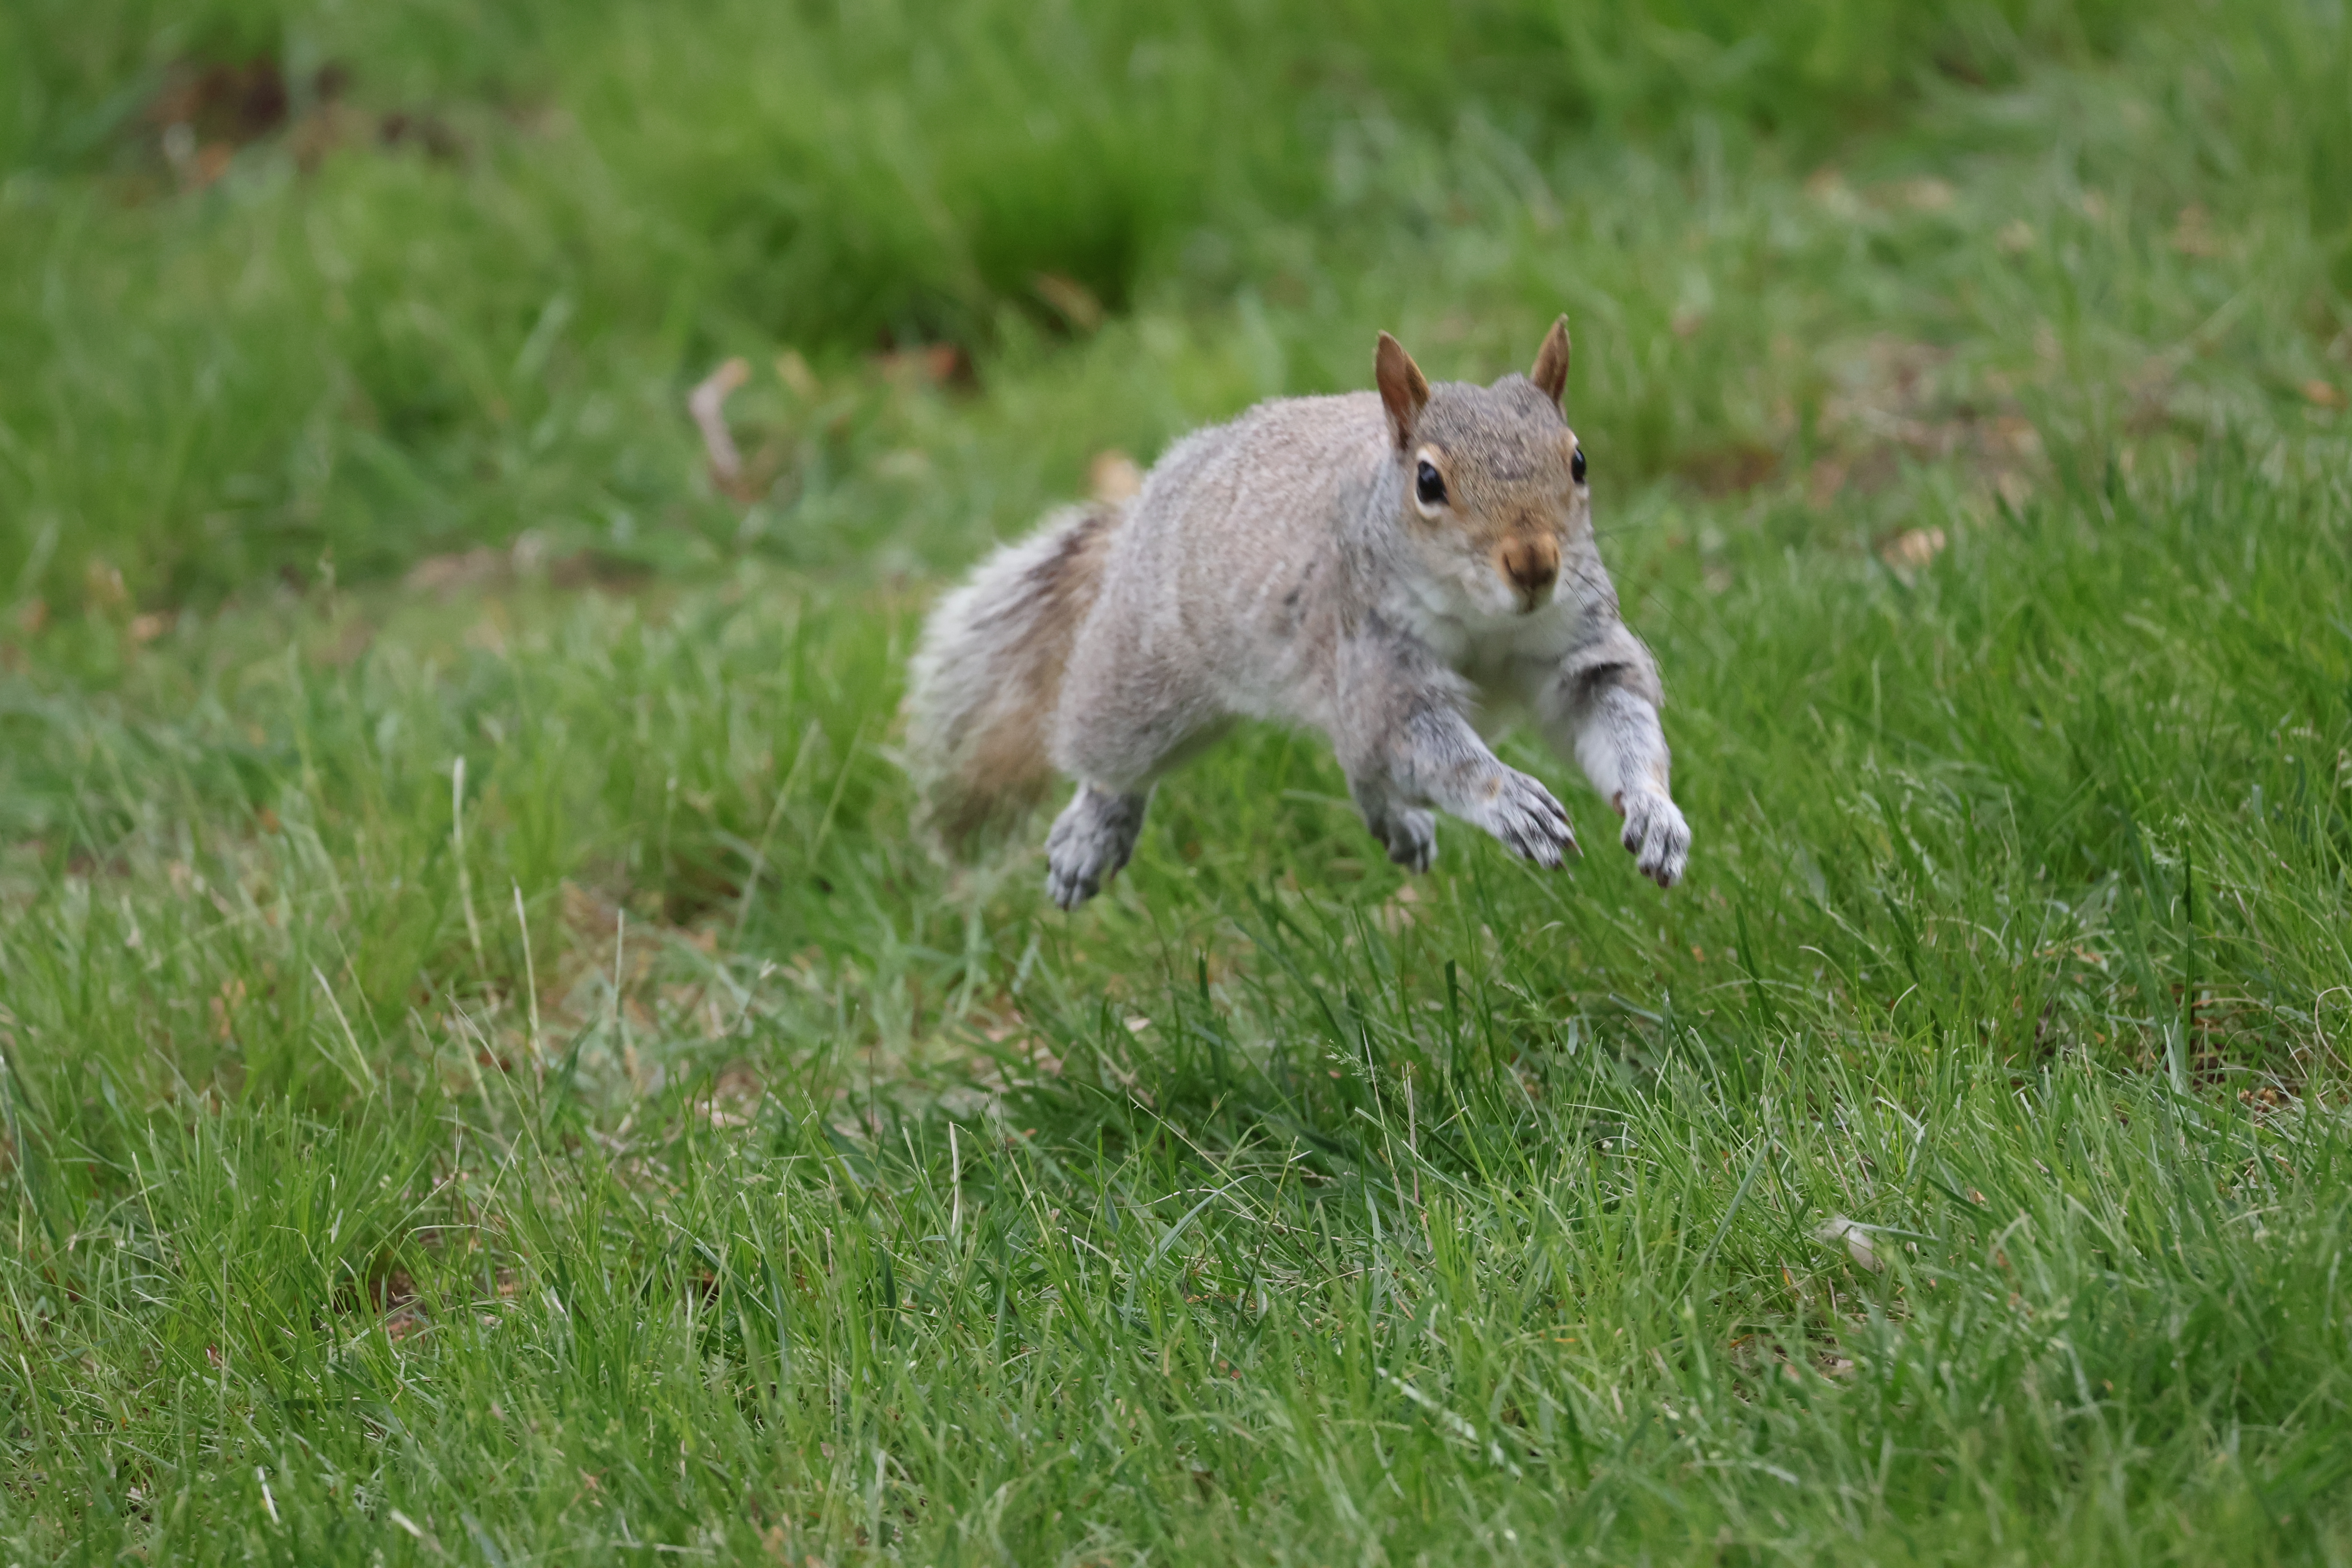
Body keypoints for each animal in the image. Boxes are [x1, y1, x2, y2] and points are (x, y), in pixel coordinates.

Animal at [903, 317, 1690, 910]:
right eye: (1428, 481)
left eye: (1579, 461)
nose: (1533, 564)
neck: (1488, 621)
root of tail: (1147, 506)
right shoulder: (1379, 671)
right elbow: (1432, 749)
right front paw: (1512, 802)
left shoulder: (1578, 650)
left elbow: (1618, 716)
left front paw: (1655, 812)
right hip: (1145, 679)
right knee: (1113, 761)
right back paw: (1092, 835)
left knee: (1357, 765)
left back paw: (1396, 819)